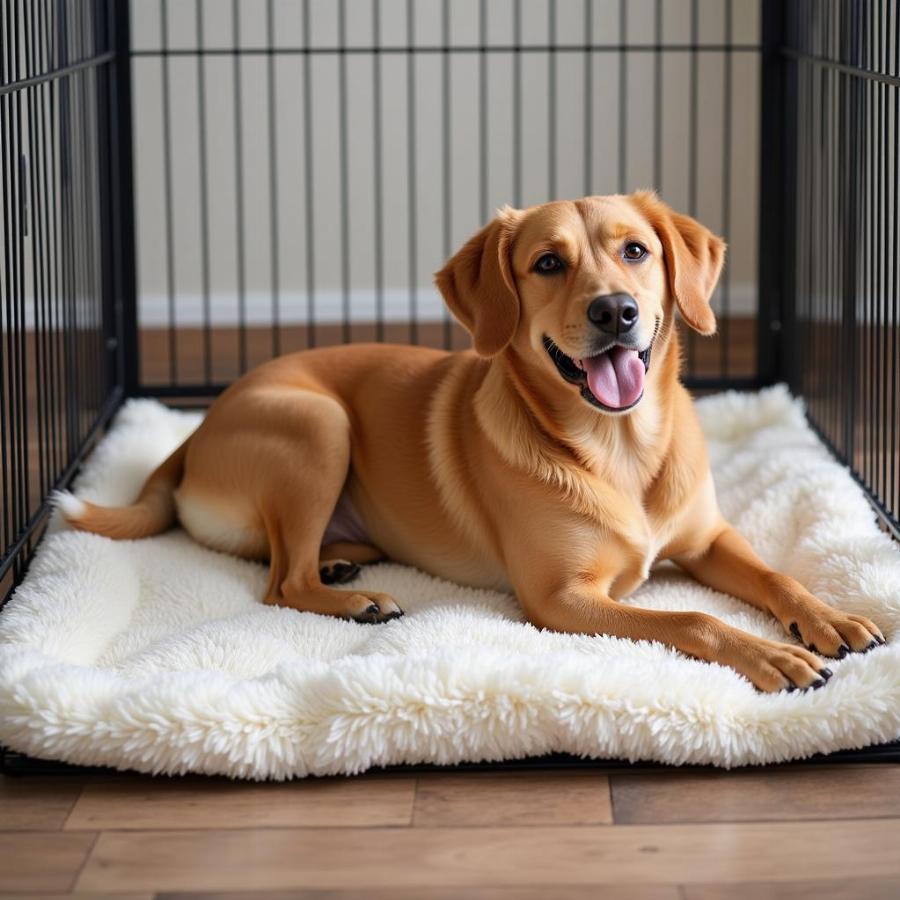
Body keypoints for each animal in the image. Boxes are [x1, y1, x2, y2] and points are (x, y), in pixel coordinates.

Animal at [59, 193, 884, 692]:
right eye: (548, 263)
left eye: (636, 251)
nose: (615, 311)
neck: (619, 448)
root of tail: (197, 431)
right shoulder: (563, 598)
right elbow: (695, 619)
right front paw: (771, 653)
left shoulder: (709, 537)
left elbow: (778, 577)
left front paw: (829, 617)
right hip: (317, 425)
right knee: (280, 583)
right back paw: (353, 597)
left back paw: (342, 561)